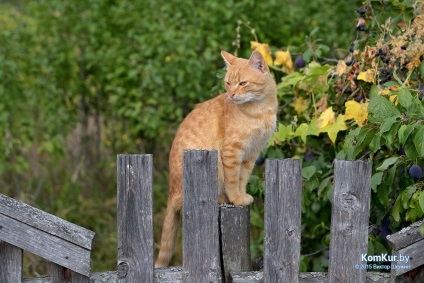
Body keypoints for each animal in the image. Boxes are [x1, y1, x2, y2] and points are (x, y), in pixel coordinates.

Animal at [156, 50, 278, 268]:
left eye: (243, 83)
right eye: (228, 83)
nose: (232, 95)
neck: (259, 109)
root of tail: (171, 191)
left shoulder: (251, 155)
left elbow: (242, 179)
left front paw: (241, 196)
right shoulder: (232, 152)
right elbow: (232, 180)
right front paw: (235, 198)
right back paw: (221, 198)